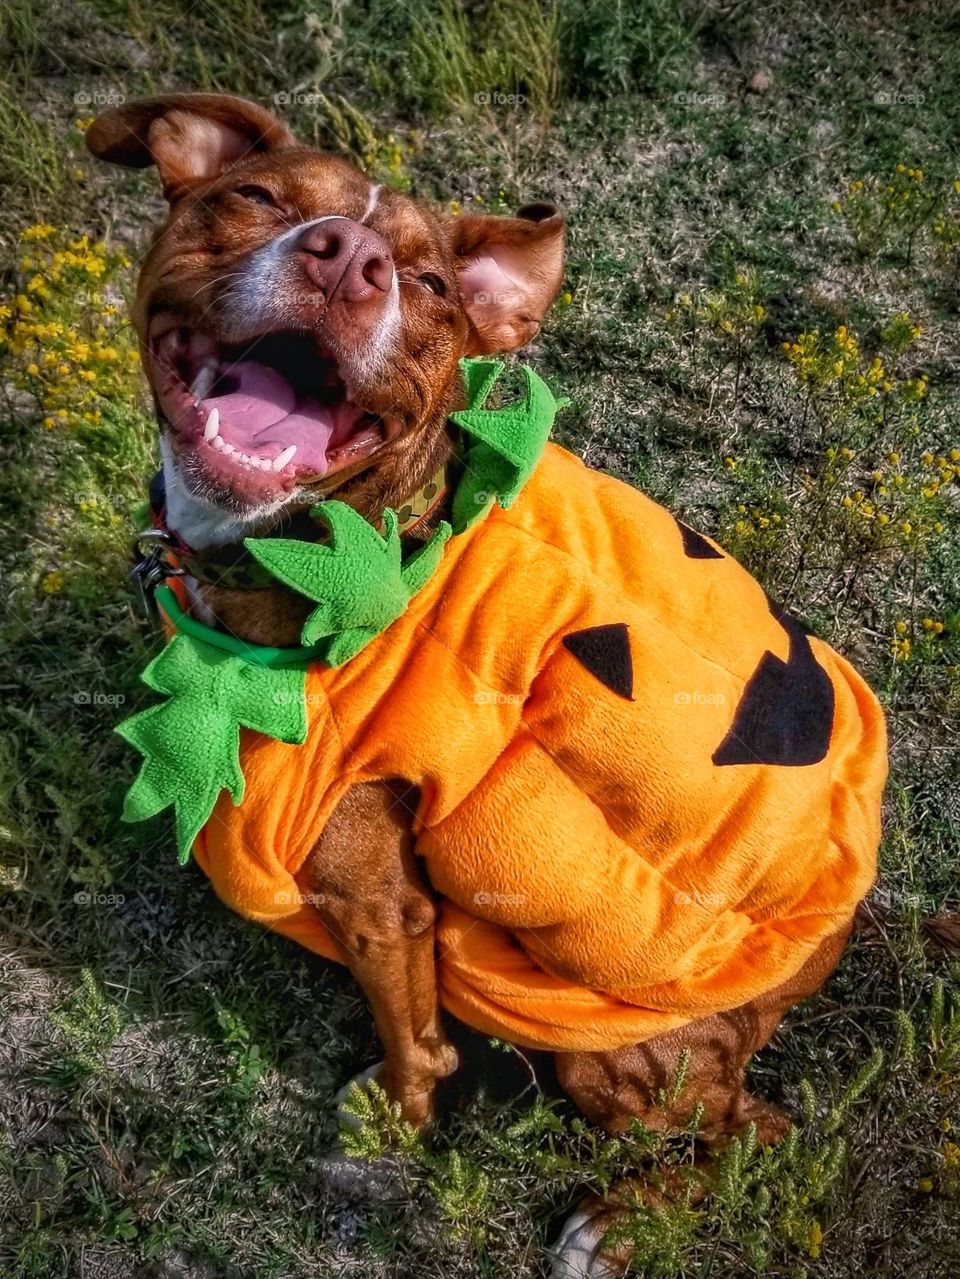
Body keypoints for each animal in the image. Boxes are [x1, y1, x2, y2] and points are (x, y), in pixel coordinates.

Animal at [92, 94, 879, 1273]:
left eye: (425, 284)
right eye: (258, 197)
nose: (348, 257)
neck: (345, 547)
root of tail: (843, 925)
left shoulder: (379, 901)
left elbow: (415, 1042)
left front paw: (393, 1123)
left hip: (616, 1057)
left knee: (761, 1128)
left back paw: (620, 1223)